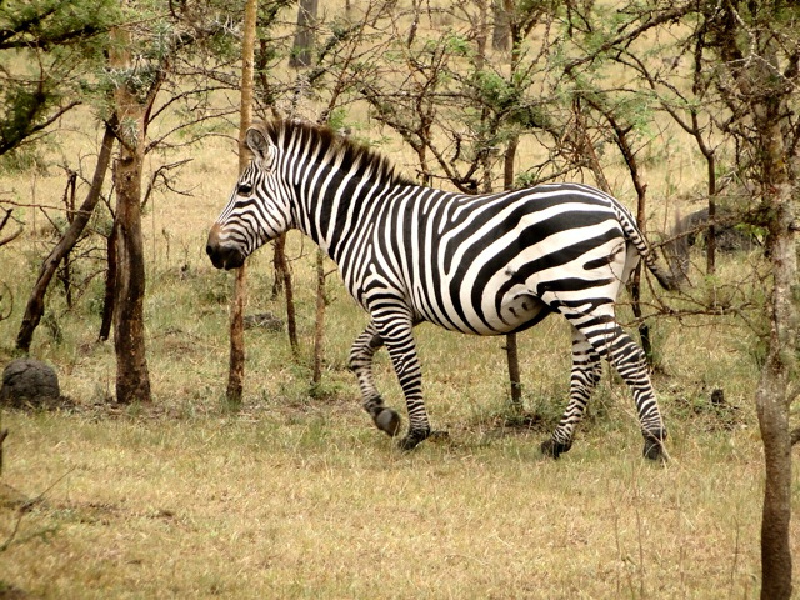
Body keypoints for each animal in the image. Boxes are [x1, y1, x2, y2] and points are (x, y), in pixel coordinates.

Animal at [206, 119, 676, 462]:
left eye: (243, 190)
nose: (211, 251)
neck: (360, 220)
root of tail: (612, 204)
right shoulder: (399, 304)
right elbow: (358, 352)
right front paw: (382, 414)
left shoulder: (385, 298)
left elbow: (407, 368)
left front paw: (415, 433)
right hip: (586, 295)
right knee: (587, 369)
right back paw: (558, 443)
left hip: (579, 292)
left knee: (627, 356)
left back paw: (653, 442)